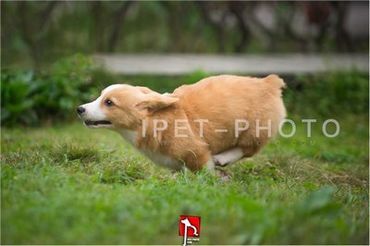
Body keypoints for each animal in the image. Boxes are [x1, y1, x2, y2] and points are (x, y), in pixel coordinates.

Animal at [77, 74, 286, 172]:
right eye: (100, 97)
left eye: (109, 103)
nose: (79, 109)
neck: (153, 120)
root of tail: (269, 83)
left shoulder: (197, 152)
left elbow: (204, 169)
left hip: (255, 129)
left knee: (249, 149)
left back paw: (223, 158)